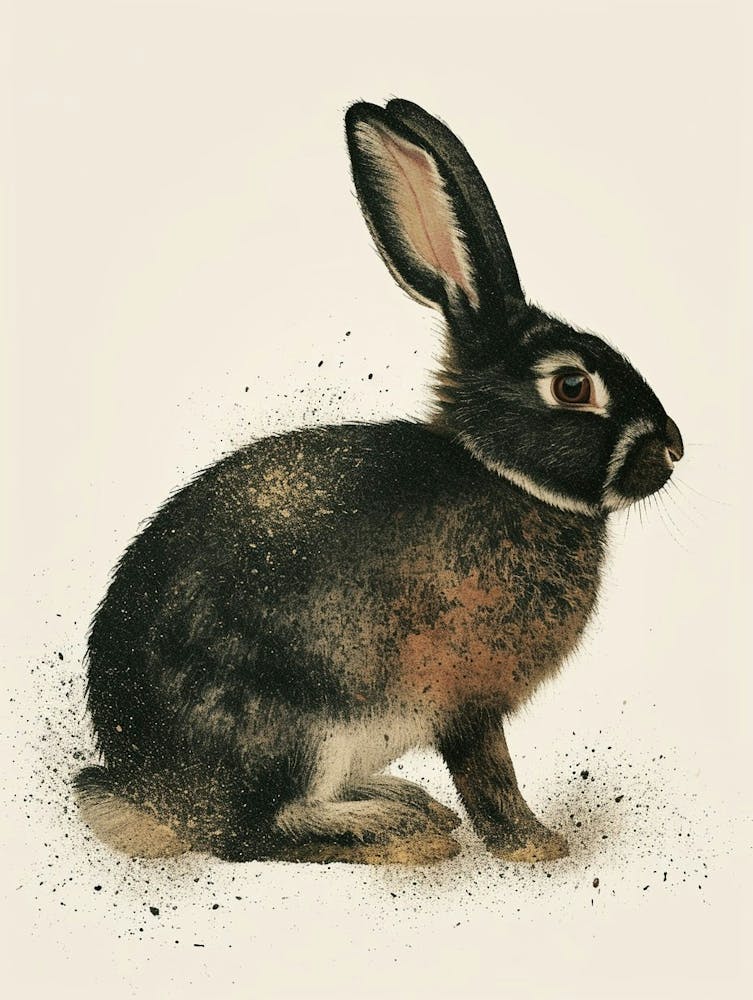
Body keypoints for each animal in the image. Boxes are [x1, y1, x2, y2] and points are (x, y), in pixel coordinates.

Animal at [74, 98, 683, 866]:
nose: (674, 449)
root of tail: (146, 792)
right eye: (572, 385)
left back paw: (401, 802)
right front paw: (537, 848)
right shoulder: (465, 700)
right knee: (251, 833)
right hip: (293, 730)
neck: (502, 477)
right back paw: (392, 830)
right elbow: (489, 776)